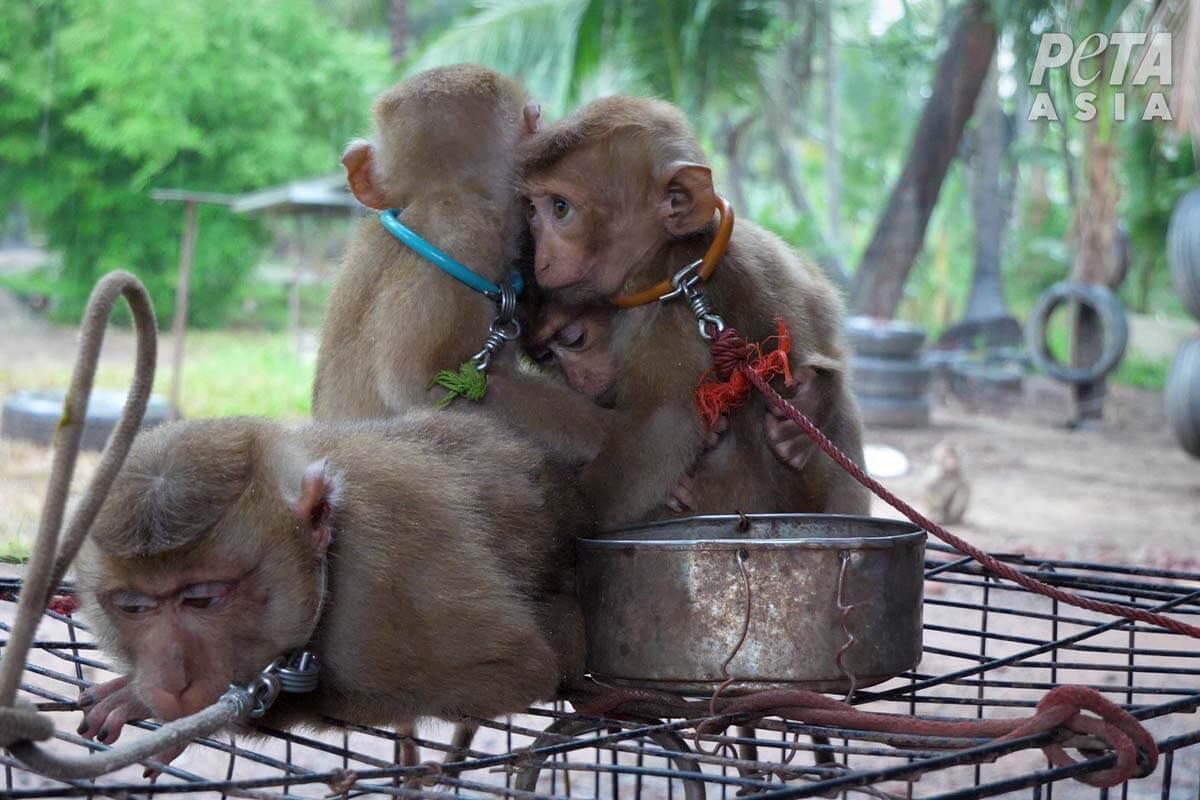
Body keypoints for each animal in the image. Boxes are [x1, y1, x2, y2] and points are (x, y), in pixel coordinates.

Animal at [520, 97, 868, 522]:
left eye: (560, 208)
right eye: (532, 212)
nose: (542, 258)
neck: (680, 266)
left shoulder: (670, 314)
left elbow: (667, 424)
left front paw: (583, 510)